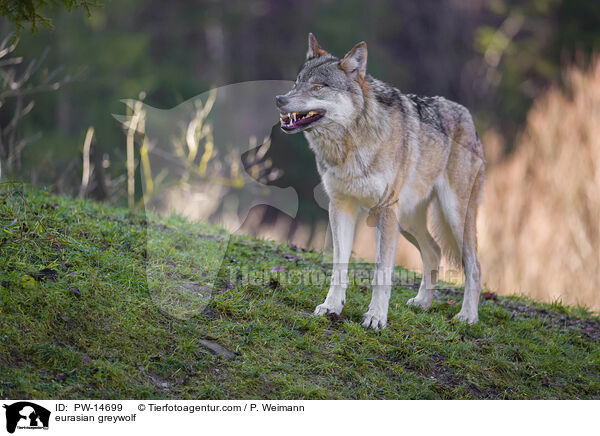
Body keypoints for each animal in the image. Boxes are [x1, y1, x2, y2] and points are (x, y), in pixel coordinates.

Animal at [276, 33, 488, 328]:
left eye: (318, 87)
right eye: (297, 83)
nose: (279, 99)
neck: (350, 146)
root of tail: (467, 115)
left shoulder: (385, 211)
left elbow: (382, 272)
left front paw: (376, 317)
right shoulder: (340, 206)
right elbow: (339, 267)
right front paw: (332, 307)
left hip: (453, 215)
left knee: (474, 264)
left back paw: (468, 315)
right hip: (407, 221)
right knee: (434, 251)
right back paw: (423, 303)